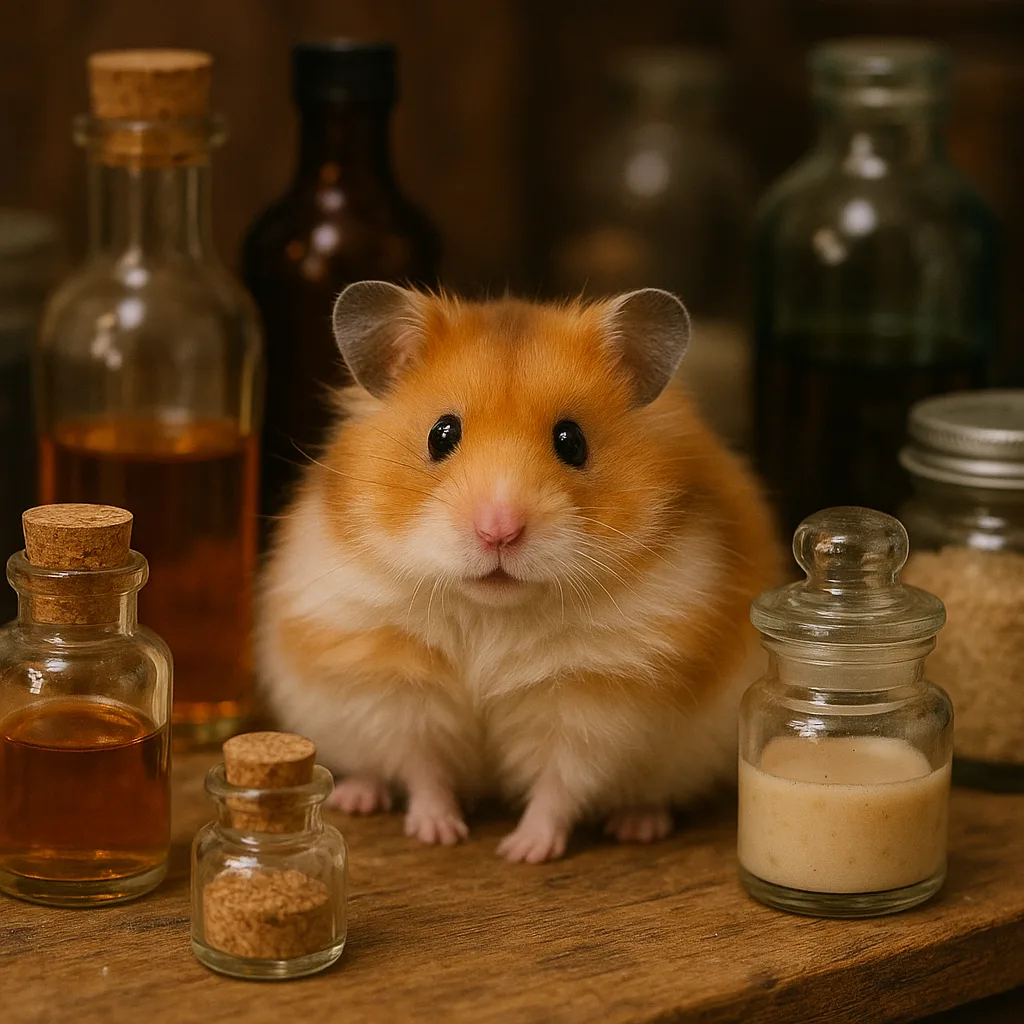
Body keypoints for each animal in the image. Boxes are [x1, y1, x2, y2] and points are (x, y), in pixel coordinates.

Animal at [257, 282, 781, 863]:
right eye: (441, 434)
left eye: (571, 440)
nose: (499, 531)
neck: (491, 611)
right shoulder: (397, 687)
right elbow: (424, 770)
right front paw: (439, 833)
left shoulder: (593, 709)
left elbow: (559, 787)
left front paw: (522, 852)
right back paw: (358, 797)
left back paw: (637, 825)